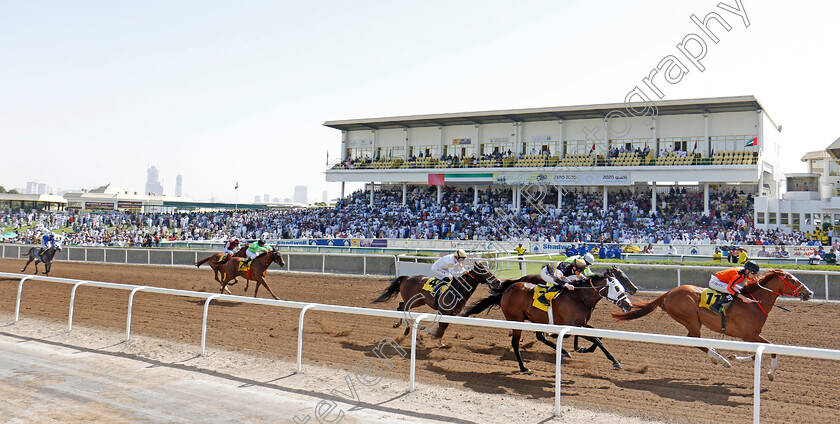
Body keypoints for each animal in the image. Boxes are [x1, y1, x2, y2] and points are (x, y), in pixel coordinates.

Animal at [460, 268, 636, 372]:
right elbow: (596, 339)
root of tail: (507, 290)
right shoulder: (573, 325)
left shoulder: (583, 323)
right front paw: (615, 361)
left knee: (539, 336)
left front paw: (584, 349)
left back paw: (563, 351)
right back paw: (524, 367)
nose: (629, 305)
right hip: (516, 320)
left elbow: (598, 337)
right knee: (516, 343)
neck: (580, 297)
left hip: (536, 319)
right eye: (617, 287)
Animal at [612, 268, 812, 380]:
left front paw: (735, 357)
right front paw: (770, 373)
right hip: (691, 320)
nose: (809, 293)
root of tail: (669, 293)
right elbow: (771, 348)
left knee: (698, 342)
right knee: (694, 340)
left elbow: (758, 353)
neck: (754, 304)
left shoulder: (751, 336)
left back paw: (717, 357)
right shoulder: (749, 334)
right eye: (792, 280)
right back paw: (721, 359)